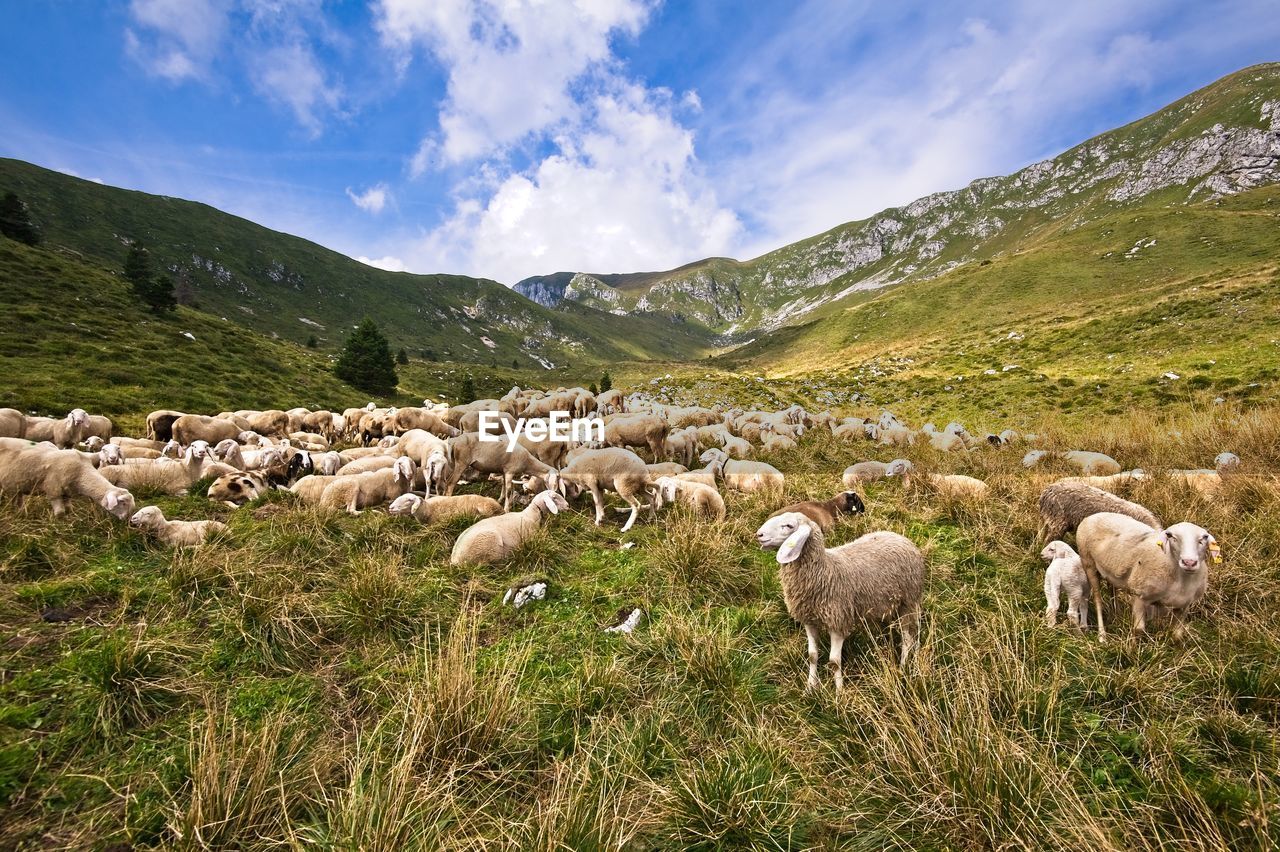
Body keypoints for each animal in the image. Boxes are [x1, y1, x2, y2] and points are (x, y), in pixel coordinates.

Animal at [0, 437, 136, 516]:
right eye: (123, 503)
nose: (127, 518)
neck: (82, 473)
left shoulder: (67, 492)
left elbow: (69, 509)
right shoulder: (53, 490)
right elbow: (60, 512)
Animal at [752, 506, 926, 685]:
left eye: (788, 526)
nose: (759, 534)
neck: (824, 570)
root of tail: (900, 537)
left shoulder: (838, 622)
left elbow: (834, 662)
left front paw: (839, 690)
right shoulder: (809, 620)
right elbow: (812, 656)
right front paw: (811, 686)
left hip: (909, 601)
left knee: (908, 637)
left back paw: (903, 667)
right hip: (885, 603)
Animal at [1075, 506, 1213, 639]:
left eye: (1204, 537)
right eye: (1170, 536)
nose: (1189, 562)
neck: (1181, 580)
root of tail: (1094, 515)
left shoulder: (1184, 606)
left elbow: (1177, 636)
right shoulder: (1140, 596)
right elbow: (1139, 630)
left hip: (1111, 568)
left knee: (1112, 589)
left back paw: (1116, 616)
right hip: (1088, 563)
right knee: (1098, 600)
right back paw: (1102, 635)